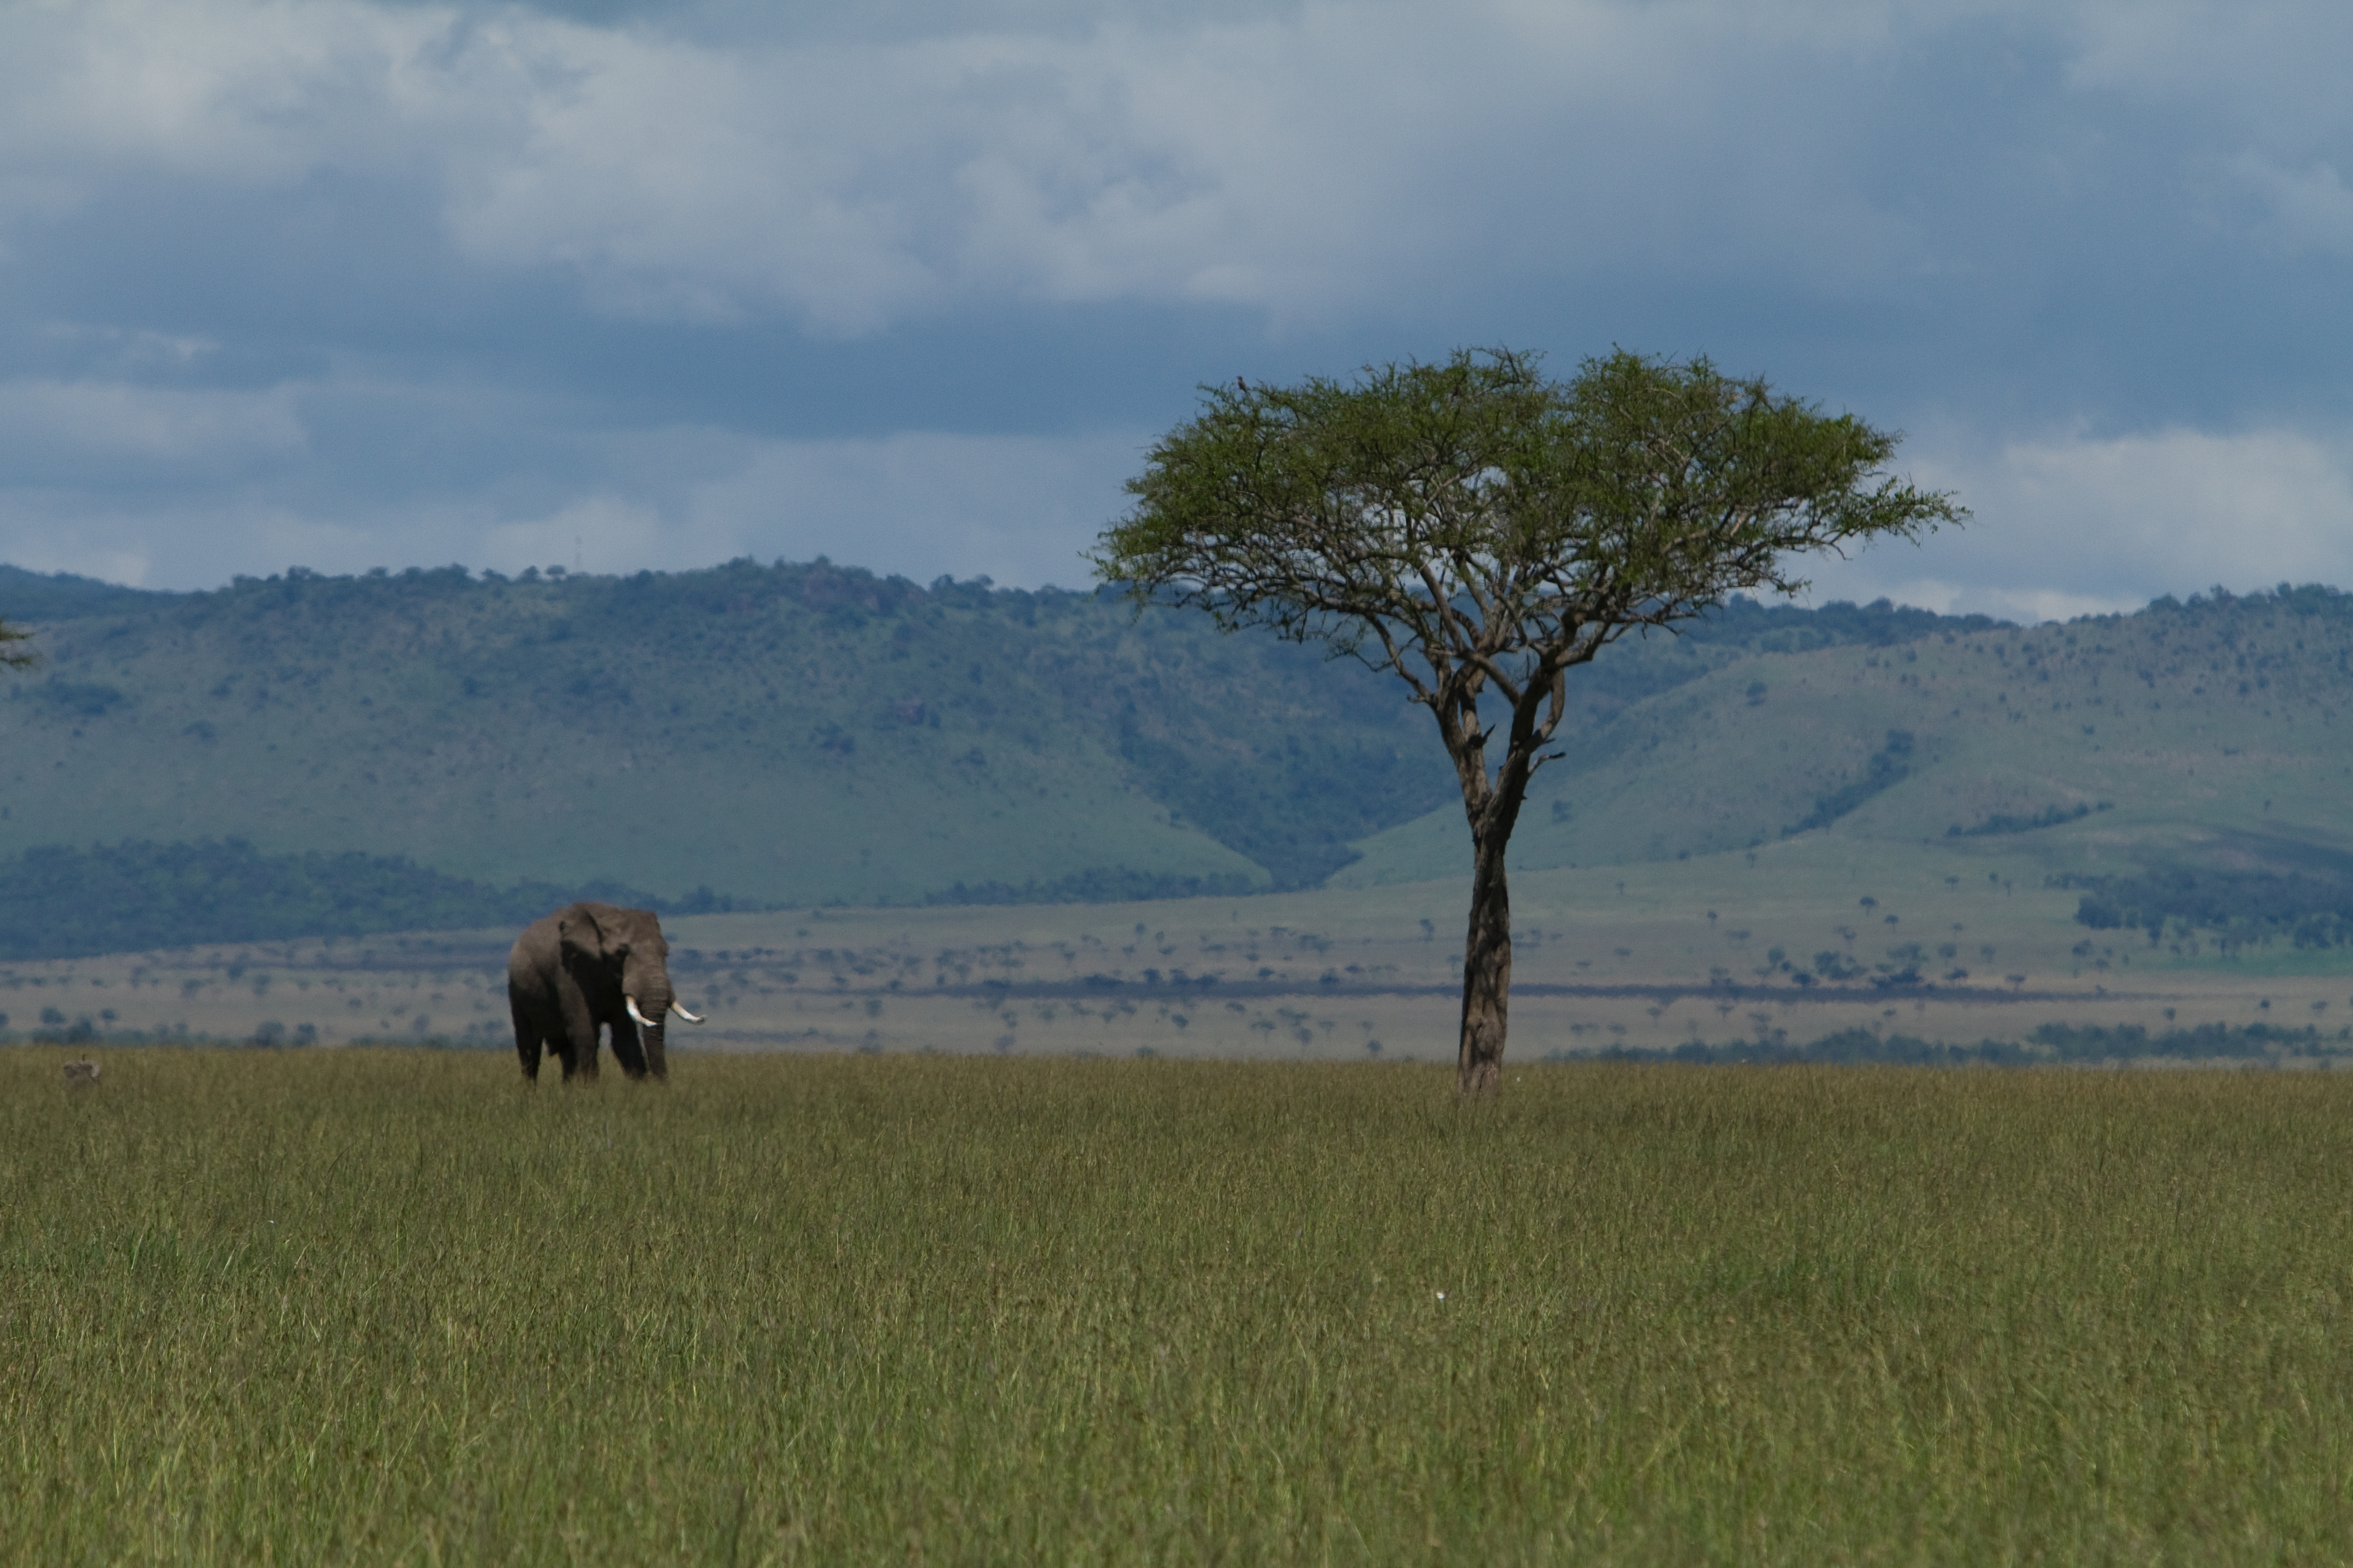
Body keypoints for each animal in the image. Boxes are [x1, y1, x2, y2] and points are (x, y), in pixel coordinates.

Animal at [507, 901, 702, 1082]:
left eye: (666, 952)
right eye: (621, 953)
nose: (664, 1086)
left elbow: (625, 1039)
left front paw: (641, 1089)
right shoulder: (568, 973)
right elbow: (585, 1032)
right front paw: (590, 1090)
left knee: (566, 1051)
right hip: (516, 991)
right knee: (529, 1048)